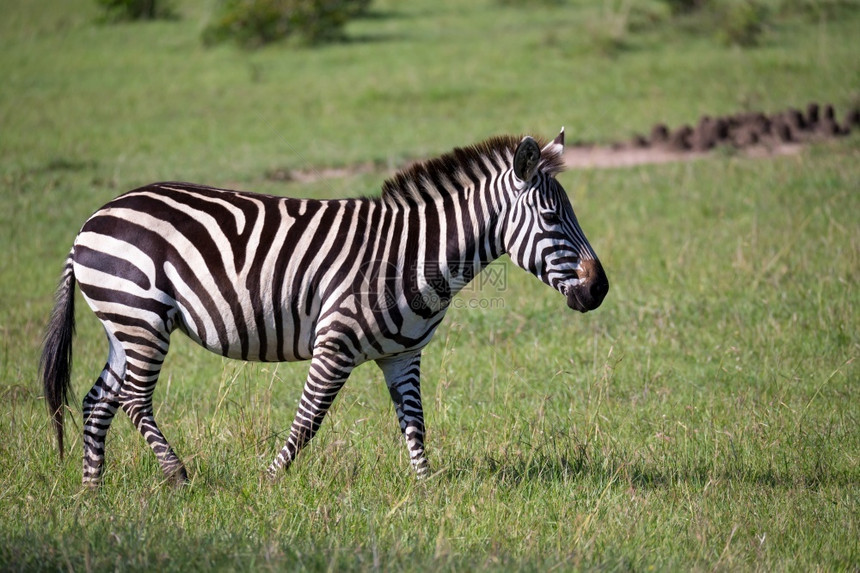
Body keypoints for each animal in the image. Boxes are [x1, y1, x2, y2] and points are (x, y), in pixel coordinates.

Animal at [40, 131, 604, 488]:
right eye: (552, 217)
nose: (599, 290)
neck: (412, 255)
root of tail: (93, 219)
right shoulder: (335, 344)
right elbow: (308, 421)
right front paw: (268, 483)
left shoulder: (404, 355)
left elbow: (416, 424)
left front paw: (428, 490)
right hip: (143, 318)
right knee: (134, 400)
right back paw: (177, 476)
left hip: (123, 324)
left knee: (98, 401)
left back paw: (92, 492)